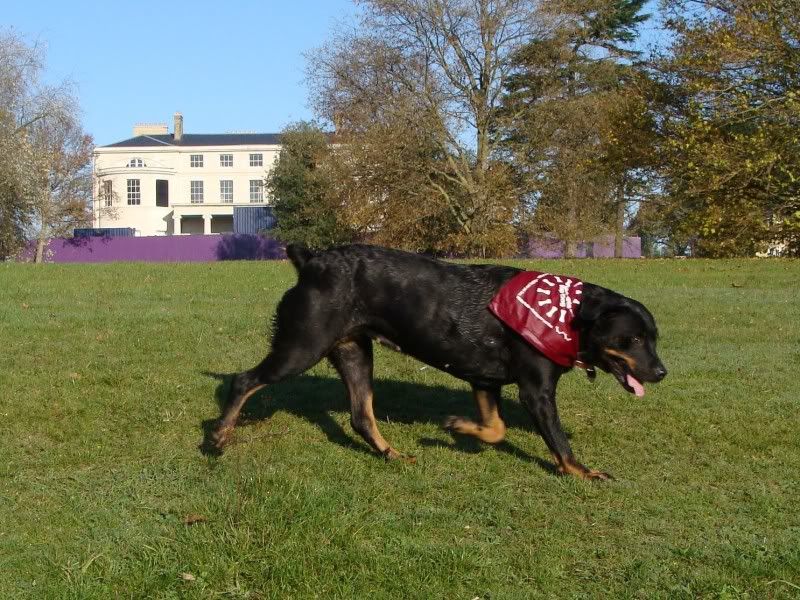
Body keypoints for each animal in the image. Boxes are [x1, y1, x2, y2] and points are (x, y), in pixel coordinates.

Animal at [209, 241, 664, 480]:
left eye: (655, 337)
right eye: (632, 339)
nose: (661, 372)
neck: (569, 314)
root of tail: (310, 261)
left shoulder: (484, 381)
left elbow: (496, 429)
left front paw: (458, 426)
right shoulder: (536, 390)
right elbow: (559, 445)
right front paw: (583, 472)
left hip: (355, 352)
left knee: (361, 416)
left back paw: (391, 454)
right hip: (301, 347)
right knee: (243, 381)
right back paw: (219, 437)